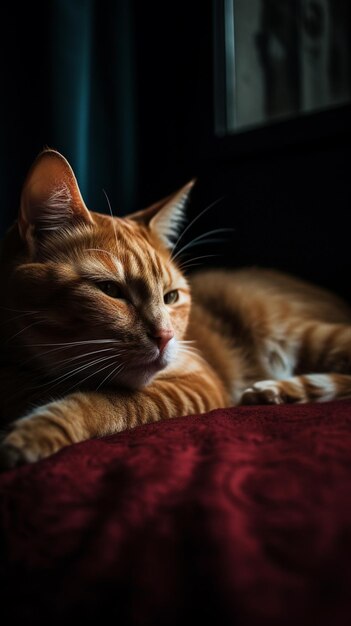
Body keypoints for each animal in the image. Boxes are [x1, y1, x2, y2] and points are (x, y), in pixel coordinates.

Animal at [0, 149, 351, 466]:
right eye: (111, 290)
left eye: (170, 297)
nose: (165, 336)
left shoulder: (198, 380)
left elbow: (113, 402)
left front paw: (37, 431)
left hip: (302, 333)